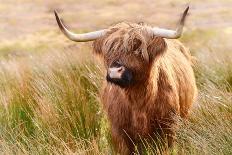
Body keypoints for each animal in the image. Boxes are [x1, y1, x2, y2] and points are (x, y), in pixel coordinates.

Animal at [54, 6, 198, 154]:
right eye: (108, 50)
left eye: (137, 48)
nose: (114, 71)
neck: (138, 99)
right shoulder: (119, 131)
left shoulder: (168, 127)